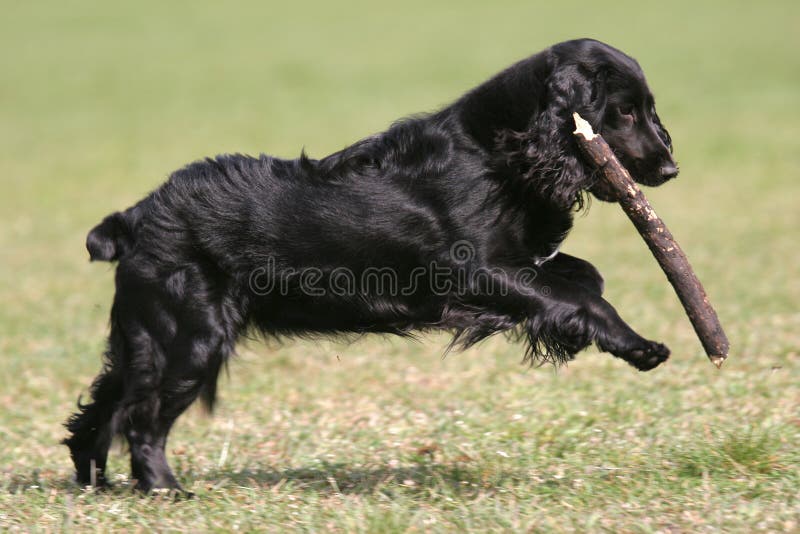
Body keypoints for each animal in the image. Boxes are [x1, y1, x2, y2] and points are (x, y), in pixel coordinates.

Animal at [65, 39, 676, 494]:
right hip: (190, 337)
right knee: (143, 419)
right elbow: (582, 297)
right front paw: (638, 346)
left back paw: (96, 481)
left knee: (102, 409)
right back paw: (165, 489)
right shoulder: (478, 269)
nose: (670, 168)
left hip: (144, 338)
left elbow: (585, 278)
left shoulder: (520, 262)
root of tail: (135, 216)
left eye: (649, 108)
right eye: (623, 110)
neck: (491, 153)